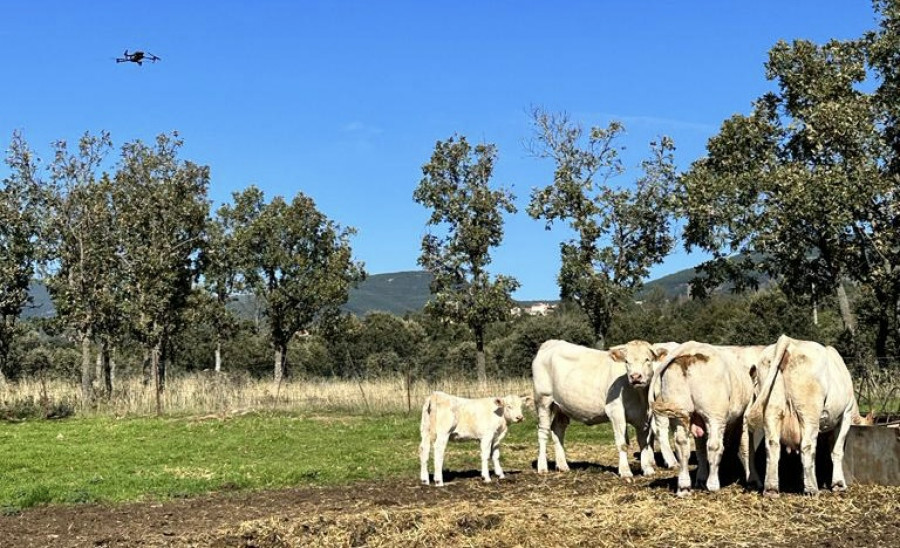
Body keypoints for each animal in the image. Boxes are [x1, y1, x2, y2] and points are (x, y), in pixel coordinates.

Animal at [532, 338, 656, 480]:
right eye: (626, 361)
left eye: (647, 359)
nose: (635, 377)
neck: (638, 395)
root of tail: (551, 342)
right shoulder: (615, 411)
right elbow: (623, 443)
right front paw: (625, 472)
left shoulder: (644, 416)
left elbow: (644, 443)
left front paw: (648, 469)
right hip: (543, 399)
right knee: (543, 431)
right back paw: (542, 467)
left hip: (561, 406)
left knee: (557, 429)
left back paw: (563, 466)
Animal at [648, 342, 760, 496]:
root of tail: (691, 348)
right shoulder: (743, 417)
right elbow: (745, 448)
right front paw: (753, 480)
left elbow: (700, 449)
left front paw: (700, 479)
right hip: (714, 414)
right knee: (714, 446)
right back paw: (713, 484)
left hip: (679, 411)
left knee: (682, 444)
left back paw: (684, 487)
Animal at [740, 336, 860, 494]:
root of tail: (789, 342)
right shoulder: (846, 414)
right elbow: (837, 451)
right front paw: (838, 484)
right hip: (808, 411)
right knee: (807, 445)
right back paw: (812, 489)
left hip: (772, 408)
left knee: (772, 444)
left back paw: (771, 489)